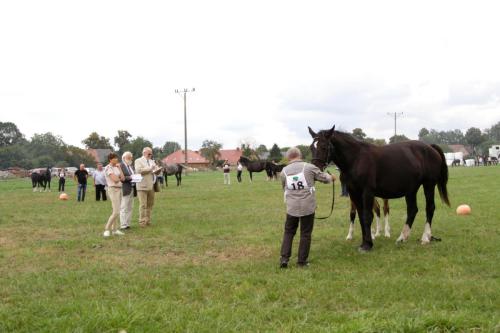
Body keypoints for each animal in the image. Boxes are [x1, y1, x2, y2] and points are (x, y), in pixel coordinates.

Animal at [306, 126, 452, 250]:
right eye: (311, 147)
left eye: (324, 146)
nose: (315, 170)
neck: (357, 158)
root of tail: (430, 147)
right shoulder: (354, 193)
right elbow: (360, 216)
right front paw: (364, 242)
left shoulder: (367, 192)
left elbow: (367, 216)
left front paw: (367, 245)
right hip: (411, 190)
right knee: (412, 210)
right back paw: (402, 237)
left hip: (429, 185)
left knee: (430, 208)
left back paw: (425, 238)